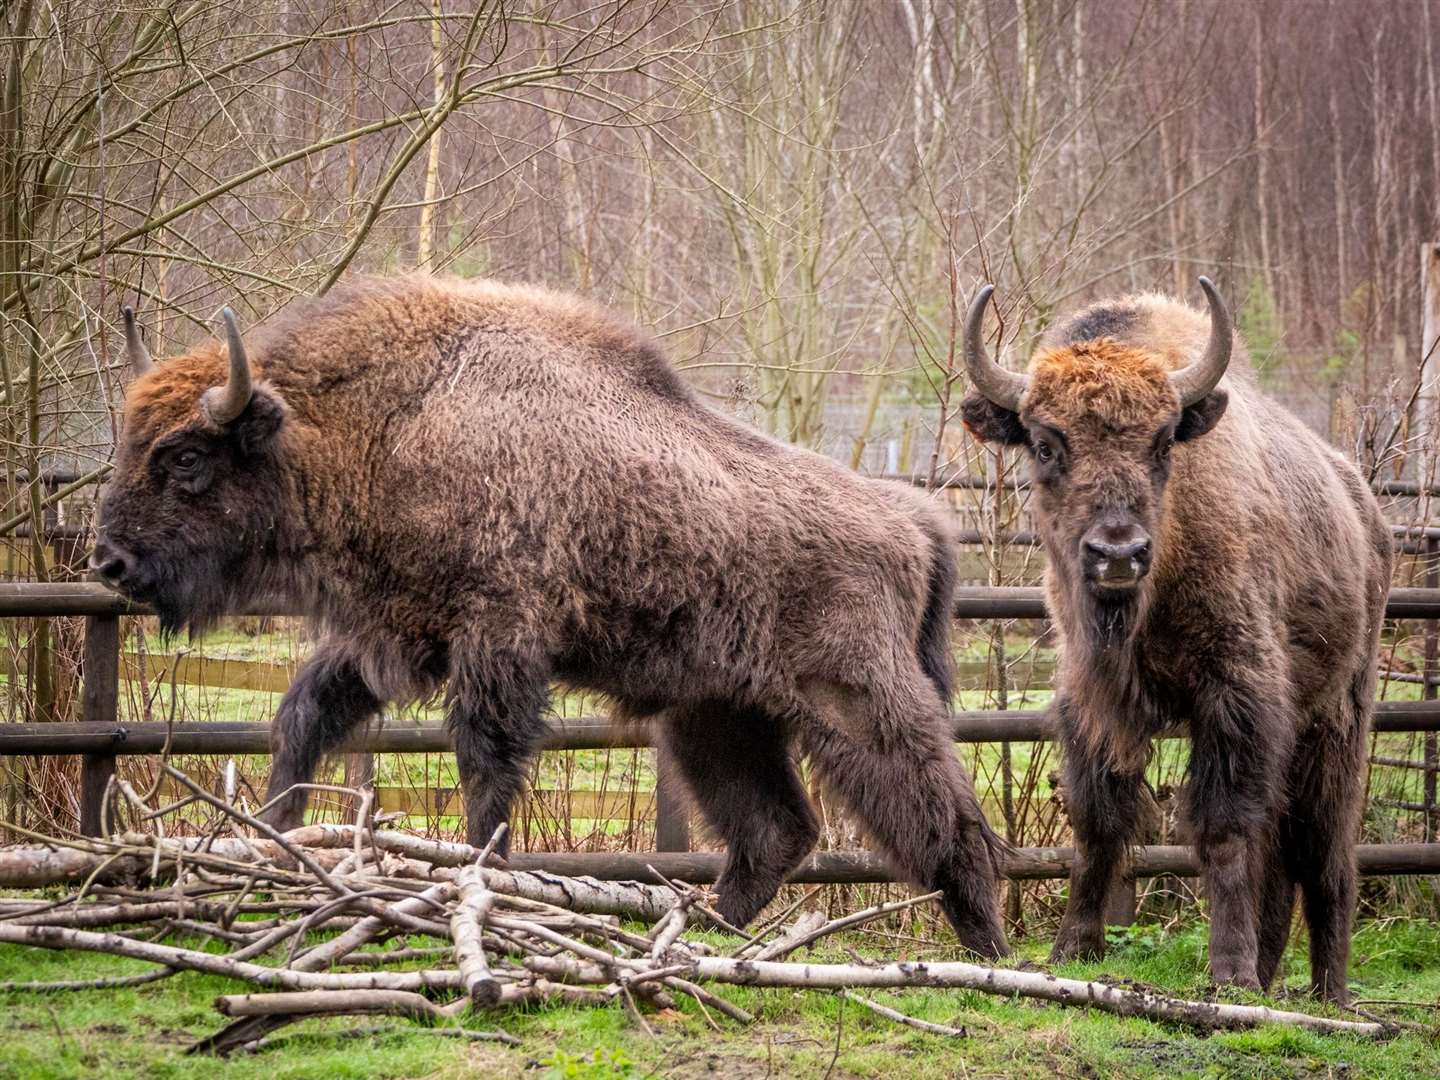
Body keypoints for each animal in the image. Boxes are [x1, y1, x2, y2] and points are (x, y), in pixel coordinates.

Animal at [95, 275, 1008, 961]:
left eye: (185, 456)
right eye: (129, 442)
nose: (109, 563)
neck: (393, 420)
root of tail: (910, 518)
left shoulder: (497, 643)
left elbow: (484, 765)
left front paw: (478, 880)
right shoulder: (384, 635)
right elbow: (301, 719)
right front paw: (274, 837)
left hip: (854, 702)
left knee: (941, 811)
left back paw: (987, 950)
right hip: (715, 716)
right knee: (776, 830)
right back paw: (704, 937)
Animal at [961, 280, 1388, 1008]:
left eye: (1163, 444)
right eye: (1046, 444)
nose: (1117, 554)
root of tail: (1366, 510)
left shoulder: (1236, 699)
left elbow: (1222, 831)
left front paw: (1229, 973)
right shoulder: (1092, 700)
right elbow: (1099, 822)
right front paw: (1072, 949)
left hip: (1338, 719)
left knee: (1325, 853)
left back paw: (1327, 992)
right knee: (1282, 854)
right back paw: (1272, 976)